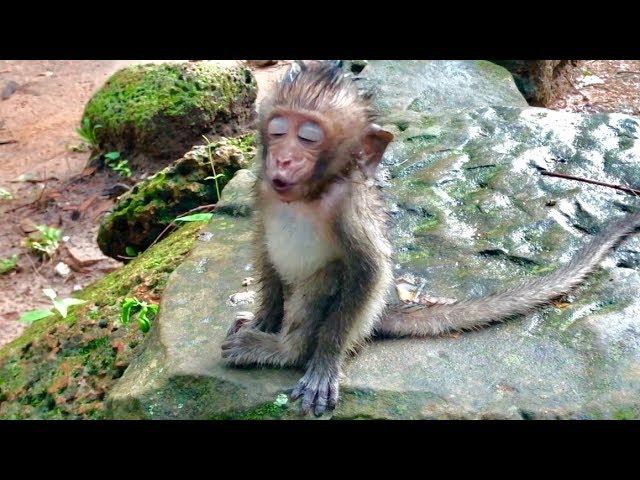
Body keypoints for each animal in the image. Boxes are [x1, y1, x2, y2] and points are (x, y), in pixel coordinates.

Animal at [221, 61, 640, 416]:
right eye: (278, 131)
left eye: (308, 137)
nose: (283, 159)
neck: (311, 195)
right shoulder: (262, 185)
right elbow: (261, 239)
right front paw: (264, 317)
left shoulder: (349, 207)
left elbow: (369, 271)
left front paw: (325, 363)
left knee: (329, 280)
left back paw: (281, 349)